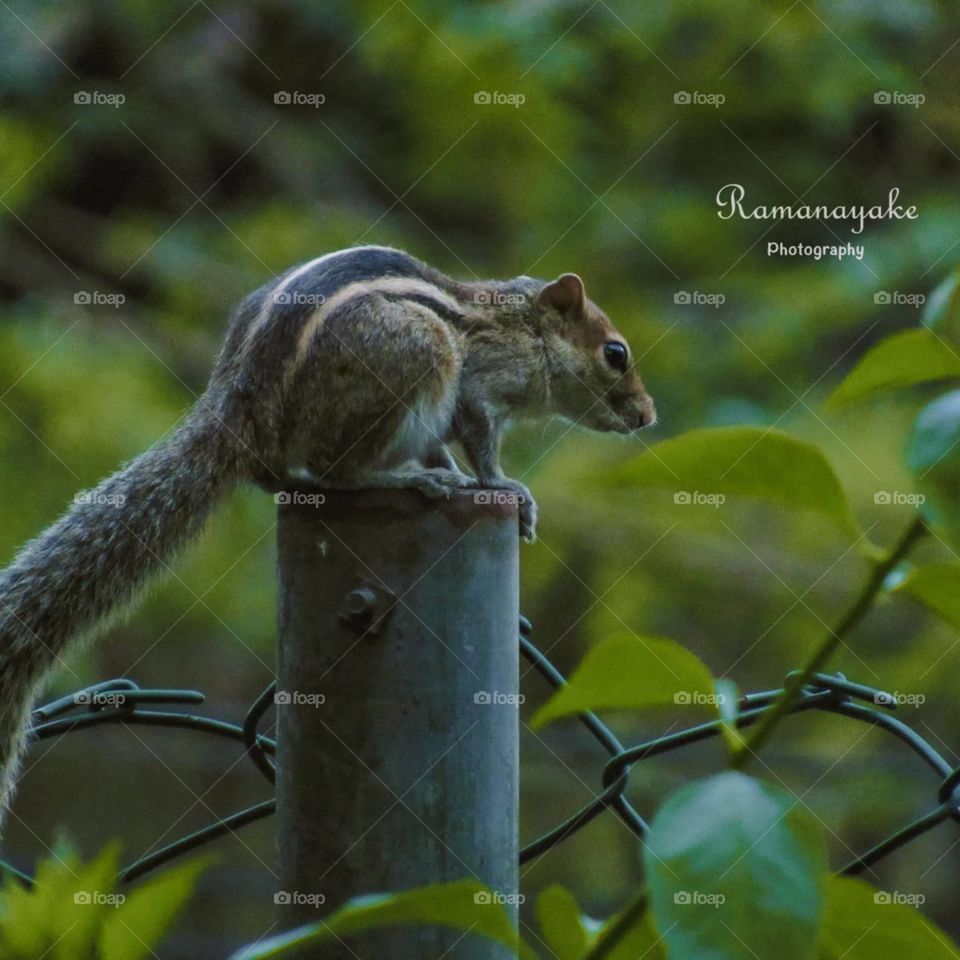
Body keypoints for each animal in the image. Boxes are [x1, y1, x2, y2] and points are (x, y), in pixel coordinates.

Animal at [0, 244, 656, 820]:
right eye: (615, 353)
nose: (649, 415)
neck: (522, 328)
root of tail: (236, 410)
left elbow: (445, 444)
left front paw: (459, 472)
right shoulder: (476, 390)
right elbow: (481, 445)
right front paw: (502, 488)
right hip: (411, 354)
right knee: (334, 470)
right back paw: (409, 479)